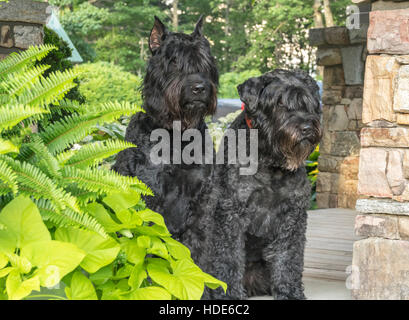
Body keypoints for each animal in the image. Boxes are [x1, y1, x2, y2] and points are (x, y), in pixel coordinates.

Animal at [111, 16, 218, 268]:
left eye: (205, 63)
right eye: (174, 61)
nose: (199, 88)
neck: (178, 135)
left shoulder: (202, 199)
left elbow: (199, 244)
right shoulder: (152, 194)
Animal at [210, 69, 322, 298]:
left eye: (308, 103)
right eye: (280, 103)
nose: (307, 127)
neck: (270, 161)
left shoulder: (292, 216)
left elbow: (288, 257)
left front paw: (289, 291)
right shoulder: (231, 214)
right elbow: (229, 256)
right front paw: (229, 293)